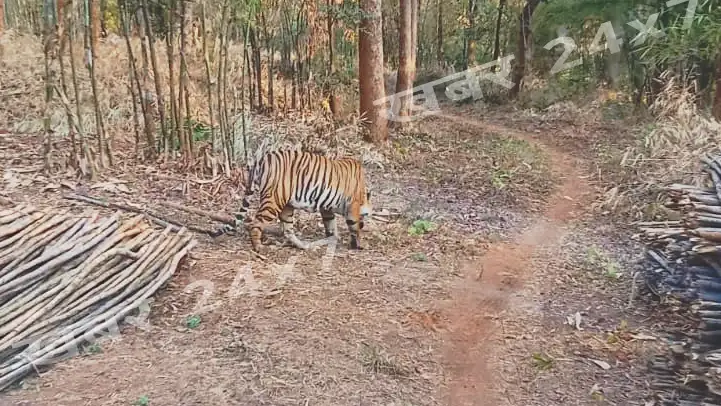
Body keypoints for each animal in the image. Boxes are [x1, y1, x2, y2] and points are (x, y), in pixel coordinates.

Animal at [207, 149, 372, 251]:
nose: (365, 223)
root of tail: (262, 159)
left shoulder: (326, 208)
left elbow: (331, 225)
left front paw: (332, 238)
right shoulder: (352, 206)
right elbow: (354, 227)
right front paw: (360, 244)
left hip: (286, 205)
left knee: (287, 230)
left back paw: (303, 246)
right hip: (273, 201)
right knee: (256, 223)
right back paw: (259, 247)